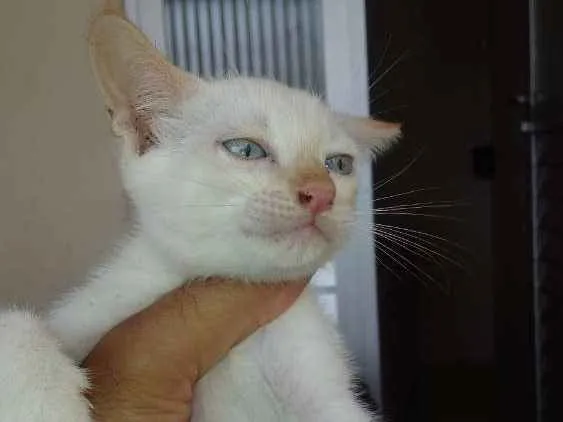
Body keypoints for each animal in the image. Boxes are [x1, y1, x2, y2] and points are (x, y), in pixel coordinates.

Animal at [0, 9, 399, 422]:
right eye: (245, 149)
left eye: (339, 164)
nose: (322, 193)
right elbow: (17, 324)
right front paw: (40, 403)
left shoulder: (323, 387)